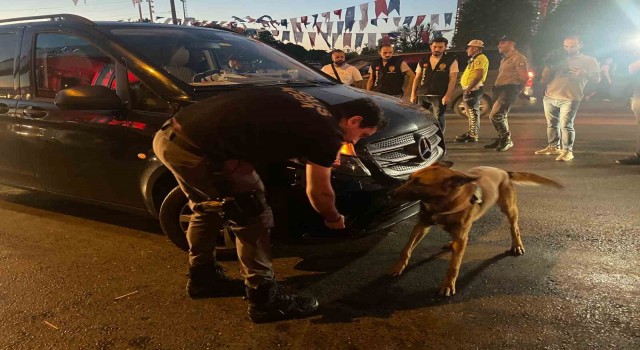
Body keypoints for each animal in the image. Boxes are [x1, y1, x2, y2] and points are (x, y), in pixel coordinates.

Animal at [390, 161, 560, 296]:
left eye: (419, 184)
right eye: (409, 179)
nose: (391, 194)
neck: (444, 204)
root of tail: (504, 172)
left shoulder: (458, 237)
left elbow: (454, 266)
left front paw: (448, 284)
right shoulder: (422, 226)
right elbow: (406, 249)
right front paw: (398, 266)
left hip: (509, 210)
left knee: (514, 228)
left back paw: (517, 245)